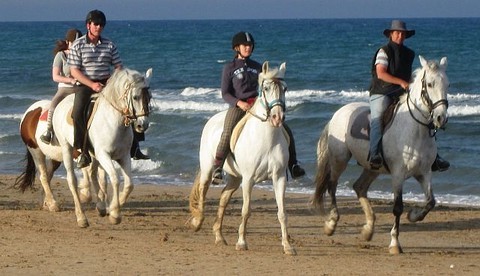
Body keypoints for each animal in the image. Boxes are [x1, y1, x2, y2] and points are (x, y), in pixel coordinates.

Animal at [15, 68, 153, 227]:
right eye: (135, 97)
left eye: (149, 97)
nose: (142, 125)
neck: (112, 121)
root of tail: (30, 112)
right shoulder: (102, 154)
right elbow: (111, 178)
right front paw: (113, 212)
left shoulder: (122, 156)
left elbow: (125, 183)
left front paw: (108, 206)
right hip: (41, 151)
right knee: (51, 177)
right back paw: (67, 210)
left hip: (56, 158)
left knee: (49, 176)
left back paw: (48, 203)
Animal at [188, 61, 296, 256]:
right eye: (266, 88)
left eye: (285, 88)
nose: (277, 118)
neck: (266, 138)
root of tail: (212, 120)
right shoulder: (249, 179)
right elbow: (246, 211)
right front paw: (241, 242)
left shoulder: (279, 178)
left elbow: (282, 213)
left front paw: (287, 246)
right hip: (209, 169)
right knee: (203, 191)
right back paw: (197, 223)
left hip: (235, 178)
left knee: (223, 198)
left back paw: (219, 236)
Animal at [314, 56, 448, 254]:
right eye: (430, 84)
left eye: (447, 84)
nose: (441, 118)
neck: (416, 131)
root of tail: (338, 113)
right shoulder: (398, 175)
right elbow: (398, 207)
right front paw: (394, 243)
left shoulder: (424, 173)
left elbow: (431, 201)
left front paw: (413, 216)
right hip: (340, 159)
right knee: (332, 185)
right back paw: (331, 223)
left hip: (372, 168)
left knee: (359, 187)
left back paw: (368, 229)